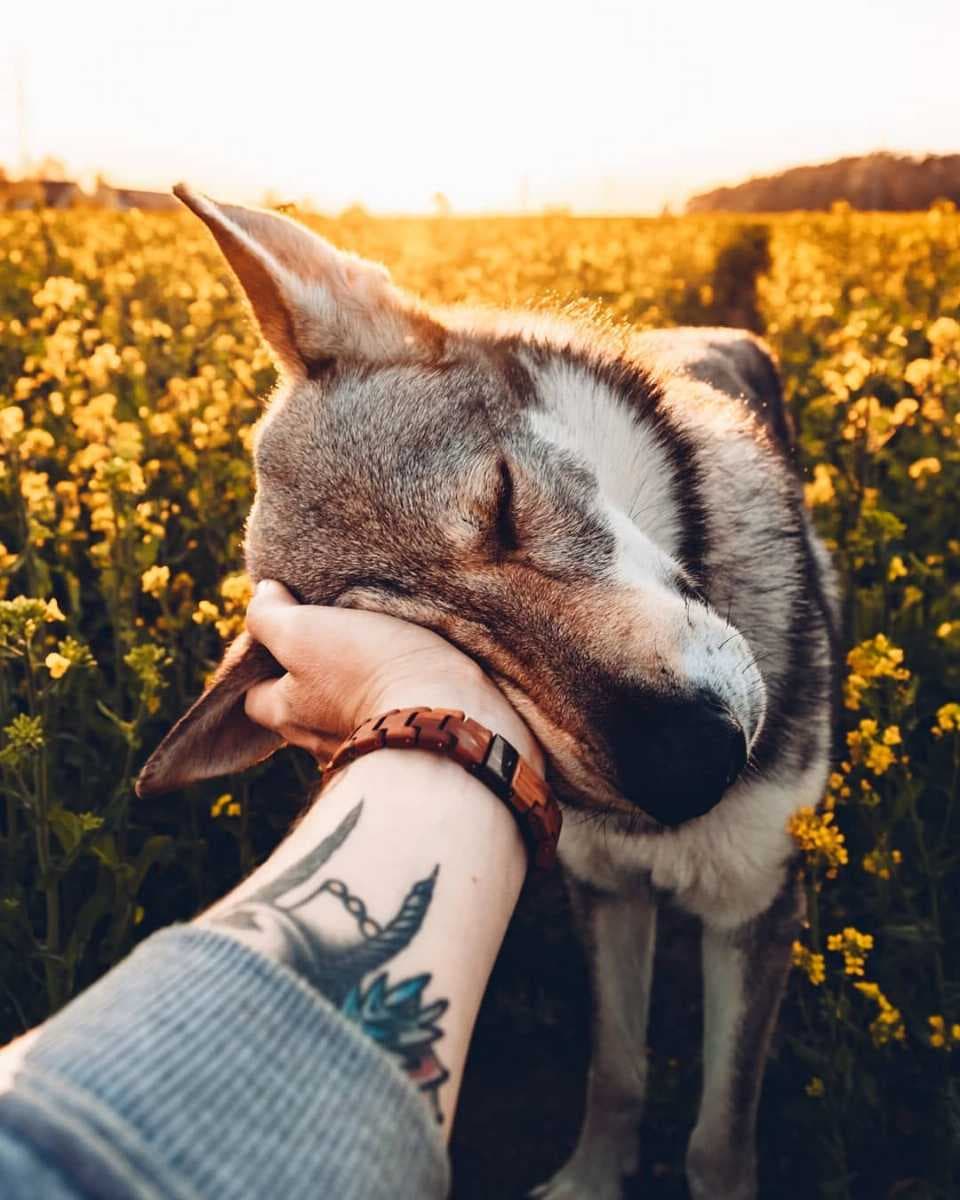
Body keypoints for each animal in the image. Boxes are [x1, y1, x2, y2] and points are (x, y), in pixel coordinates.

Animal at [138, 187, 839, 1200]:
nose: (691, 767)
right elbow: (616, 1075)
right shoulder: (607, 892)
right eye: (439, 647)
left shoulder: (754, 905)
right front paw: (591, 1181)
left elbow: (716, 1140)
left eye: (503, 505)